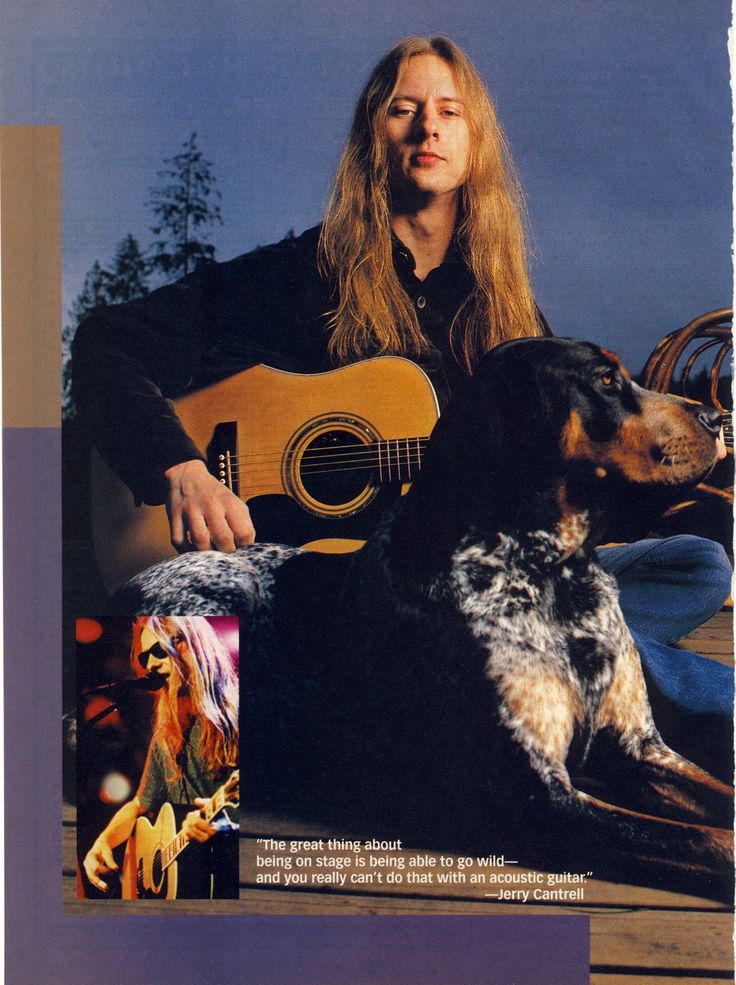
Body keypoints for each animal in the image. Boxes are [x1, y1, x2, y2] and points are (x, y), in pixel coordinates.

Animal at [112, 338, 732, 900]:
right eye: (605, 381)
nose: (716, 417)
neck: (554, 575)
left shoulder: (641, 749)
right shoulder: (535, 797)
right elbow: (703, 840)